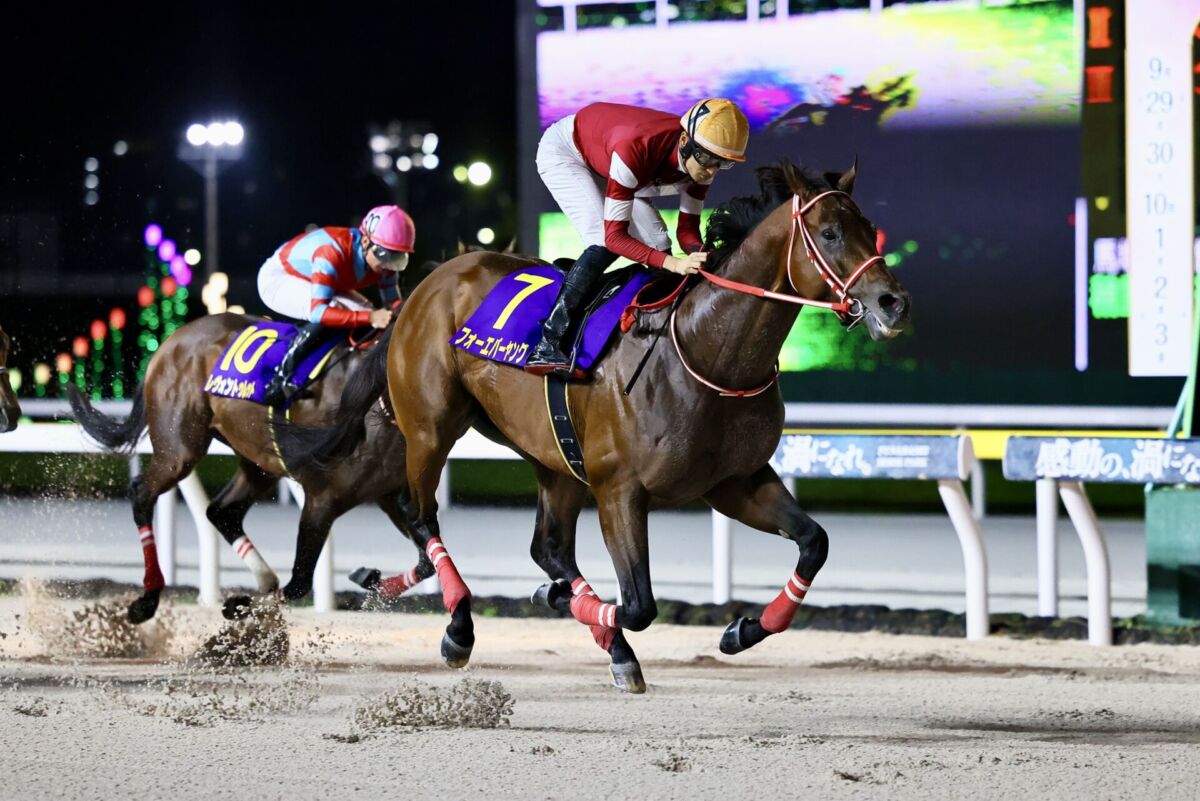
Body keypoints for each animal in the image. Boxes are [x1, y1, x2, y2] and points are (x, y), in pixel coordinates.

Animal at [67, 313, 432, 624]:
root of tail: (172, 340)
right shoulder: (322, 498)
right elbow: (300, 582)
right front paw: (238, 605)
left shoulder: (391, 494)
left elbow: (428, 561)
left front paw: (372, 581)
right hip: (178, 450)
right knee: (143, 494)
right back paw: (147, 599)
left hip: (258, 460)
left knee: (221, 511)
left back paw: (263, 576)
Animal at [278, 161, 911, 691]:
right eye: (829, 233)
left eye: (869, 226)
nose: (893, 301)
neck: (706, 351)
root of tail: (425, 285)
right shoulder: (619, 490)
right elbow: (639, 604)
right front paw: (582, 619)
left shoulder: (735, 481)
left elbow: (813, 543)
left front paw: (742, 630)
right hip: (431, 427)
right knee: (423, 516)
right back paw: (460, 626)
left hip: (552, 454)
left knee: (546, 547)